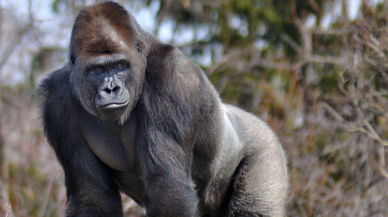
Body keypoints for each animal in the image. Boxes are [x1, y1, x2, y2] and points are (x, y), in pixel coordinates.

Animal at [38, 2, 288, 217]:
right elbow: (92, 196)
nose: (111, 89)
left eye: (120, 66)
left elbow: (168, 188)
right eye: (97, 70)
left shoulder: (171, 75)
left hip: (266, 148)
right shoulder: (56, 100)